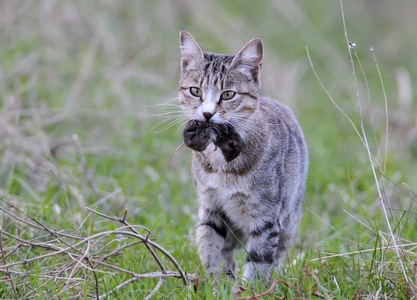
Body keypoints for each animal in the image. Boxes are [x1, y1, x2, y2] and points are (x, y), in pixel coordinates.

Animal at [177, 29, 308, 284]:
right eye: (195, 91)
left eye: (228, 94)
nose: (207, 114)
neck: (221, 165)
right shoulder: (211, 207)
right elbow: (211, 249)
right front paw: (217, 285)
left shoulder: (266, 218)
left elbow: (259, 262)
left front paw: (249, 289)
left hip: (289, 222)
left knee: (276, 257)